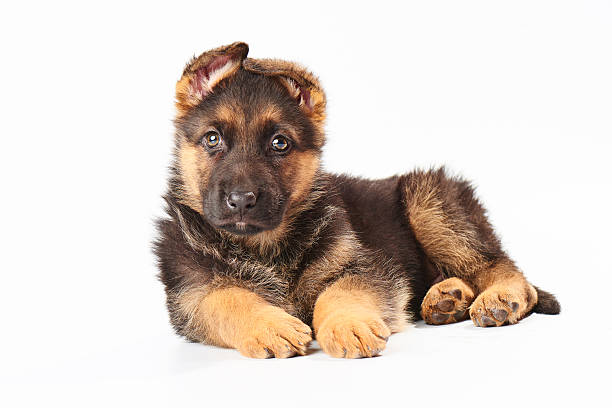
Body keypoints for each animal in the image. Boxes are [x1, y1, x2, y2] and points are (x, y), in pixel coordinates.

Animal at [154, 43, 560, 358]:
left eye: (279, 143)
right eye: (212, 139)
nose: (241, 200)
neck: (264, 247)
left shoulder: (367, 267)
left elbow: (339, 293)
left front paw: (347, 323)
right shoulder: (189, 294)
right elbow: (225, 298)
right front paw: (270, 325)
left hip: (429, 204)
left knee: (504, 268)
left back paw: (497, 299)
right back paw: (448, 297)